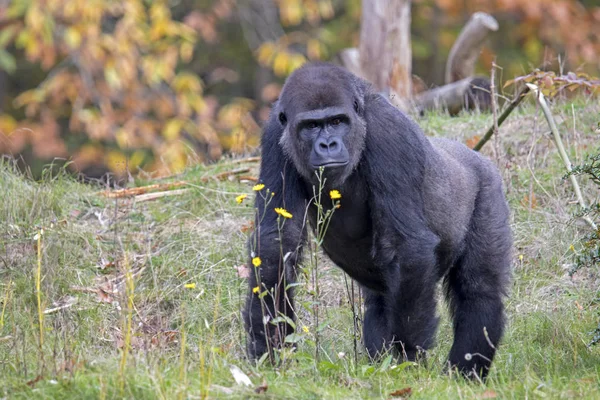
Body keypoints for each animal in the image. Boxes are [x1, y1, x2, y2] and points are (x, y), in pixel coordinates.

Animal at [244, 62, 510, 378]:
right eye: (311, 126)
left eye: (337, 121)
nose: (328, 144)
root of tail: (474, 154)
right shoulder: (275, 135)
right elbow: (277, 243)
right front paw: (268, 346)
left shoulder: (389, 132)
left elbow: (409, 245)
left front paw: (408, 357)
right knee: (380, 302)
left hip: (489, 186)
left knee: (479, 290)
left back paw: (464, 373)